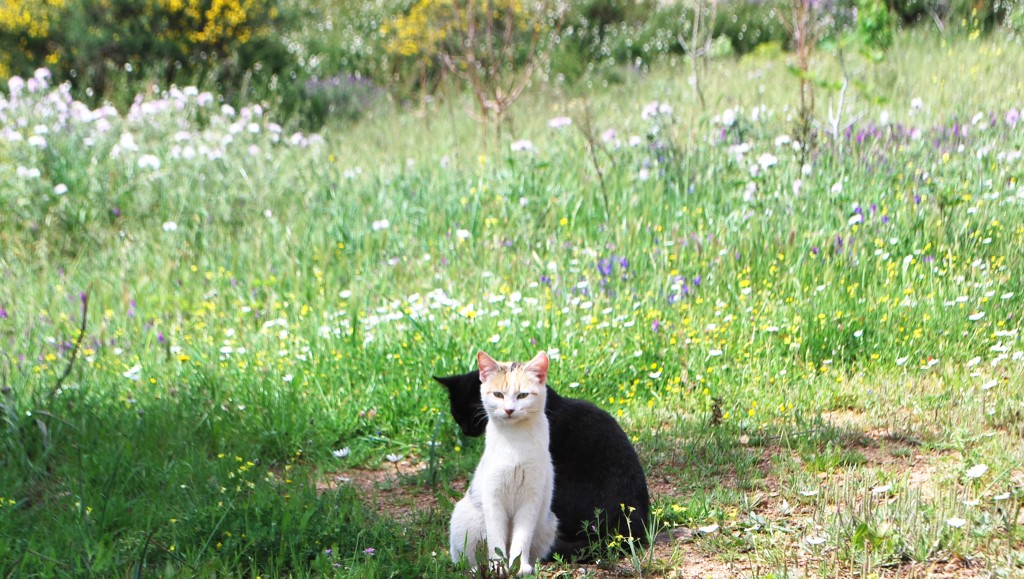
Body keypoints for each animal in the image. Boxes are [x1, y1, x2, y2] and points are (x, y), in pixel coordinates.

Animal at [450, 348, 557, 573]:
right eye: (498, 395)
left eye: (523, 395)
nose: (509, 410)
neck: (515, 439)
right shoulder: (493, 497)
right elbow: (496, 539)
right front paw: (498, 567)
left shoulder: (530, 499)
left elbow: (522, 537)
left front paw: (520, 566)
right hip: (465, 520)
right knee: (468, 560)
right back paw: (476, 569)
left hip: (548, 523)